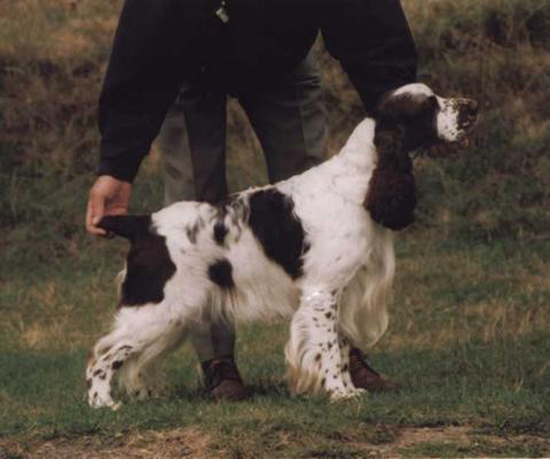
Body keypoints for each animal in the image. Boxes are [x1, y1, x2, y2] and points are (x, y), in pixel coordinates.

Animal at [86, 82, 478, 410]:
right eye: (429, 106)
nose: (472, 107)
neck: (360, 183)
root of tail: (143, 223)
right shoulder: (322, 292)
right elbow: (329, 349)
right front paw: (341, 393)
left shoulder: (345, 290)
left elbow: (341, 345)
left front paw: (350, 386)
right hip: (156, 309)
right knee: (101, 355)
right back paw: (103, 404)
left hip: (172, 315)